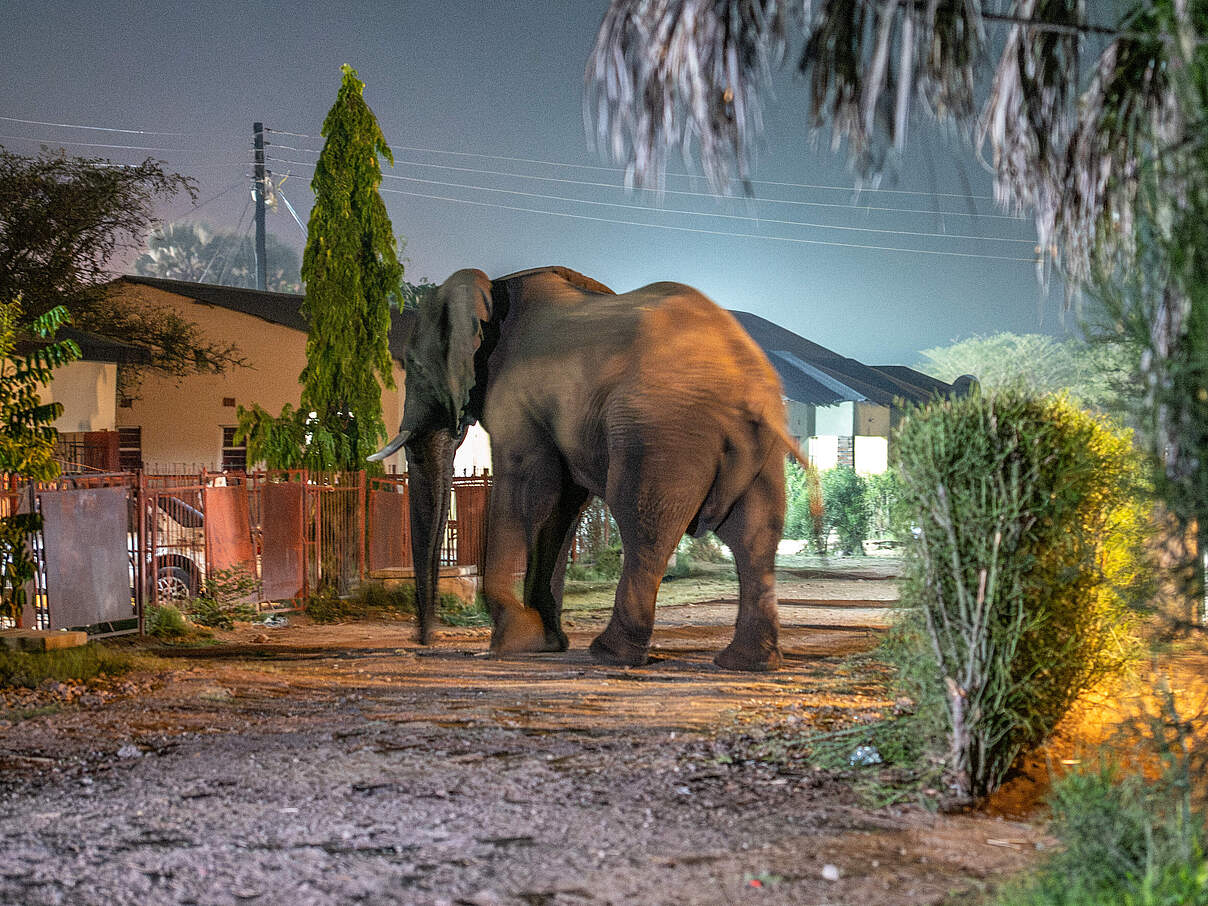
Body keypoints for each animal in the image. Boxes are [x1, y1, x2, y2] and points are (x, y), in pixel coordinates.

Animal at [371, 266, 799, 671]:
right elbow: (562, 504)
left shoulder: (516, 399)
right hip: (754, 449)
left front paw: (510, 644)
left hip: (661, 435)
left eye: (413, 365)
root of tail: (746, 384)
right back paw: (748, 663)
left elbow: (527, 487)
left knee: (644, 527)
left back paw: (610, 654)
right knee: (755, 536)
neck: (495, 289)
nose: (425, 640)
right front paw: (543, 644)